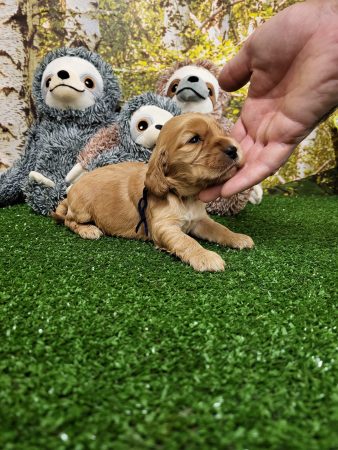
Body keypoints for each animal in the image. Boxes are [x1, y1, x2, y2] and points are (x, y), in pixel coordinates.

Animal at [53, 114, 254, 272]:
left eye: (221, 132)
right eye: (194, 139)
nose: (234, 149)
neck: (184, 196)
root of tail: (70, 194)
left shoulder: (199, 221)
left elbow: (219, 228)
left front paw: (238, 237)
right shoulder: (164, 227)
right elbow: (186, 241)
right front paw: (205, 256)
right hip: (83, 210)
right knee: (69, 221)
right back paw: (88, 230)